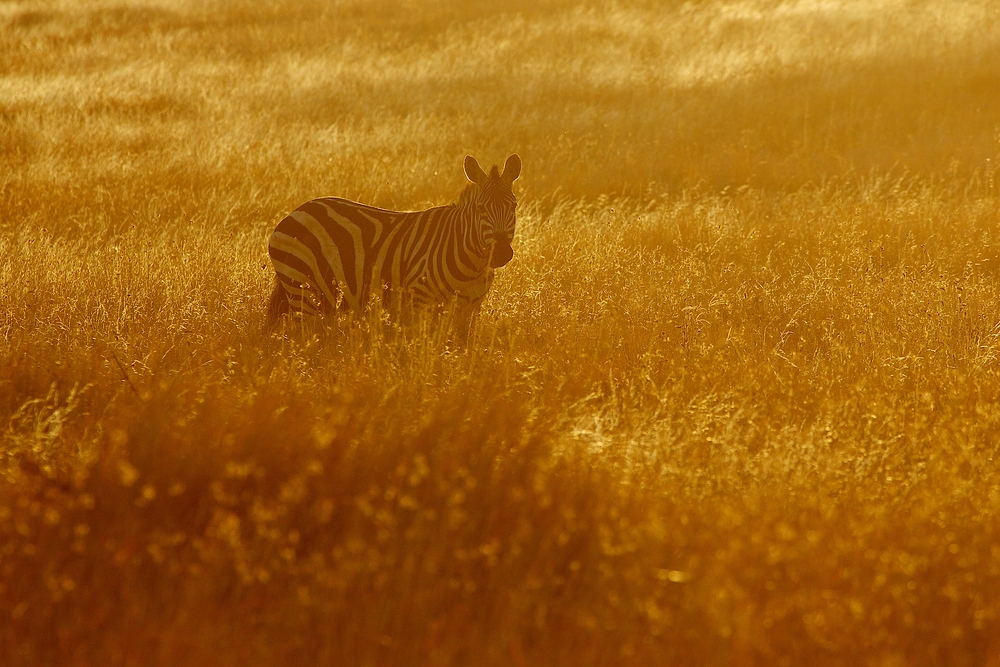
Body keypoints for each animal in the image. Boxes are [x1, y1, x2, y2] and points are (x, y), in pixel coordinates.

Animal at [266, 155, 524, 340]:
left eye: (514, 206)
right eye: (481, 209)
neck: (473, 265)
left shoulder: (471, 308)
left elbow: (460, 348)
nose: (501, 253)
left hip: (322, 297)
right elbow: (422, 346)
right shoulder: (420, 300)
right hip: (302, 290)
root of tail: (294, 212)